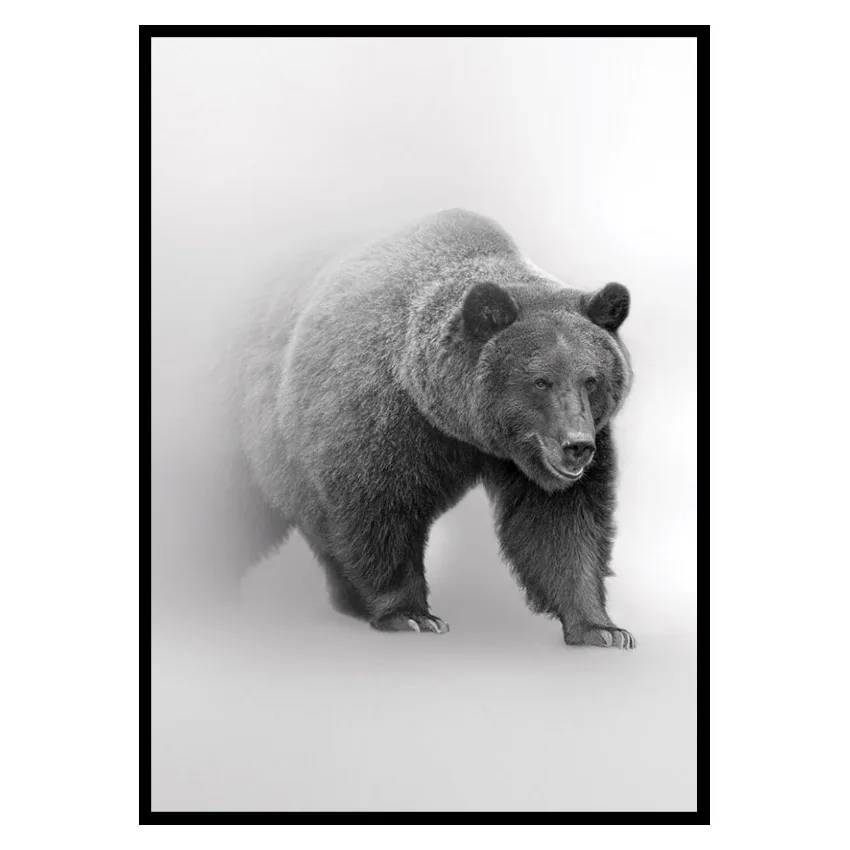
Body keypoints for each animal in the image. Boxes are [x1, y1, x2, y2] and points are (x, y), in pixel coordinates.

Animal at [200, 208, 635, 648]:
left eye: (591, 379)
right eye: (540, 381)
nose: (576, 446)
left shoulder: (541, 454)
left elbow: (562, 522)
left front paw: (601, 628)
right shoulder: (378, 418)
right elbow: (377, 509)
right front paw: (411, 614)